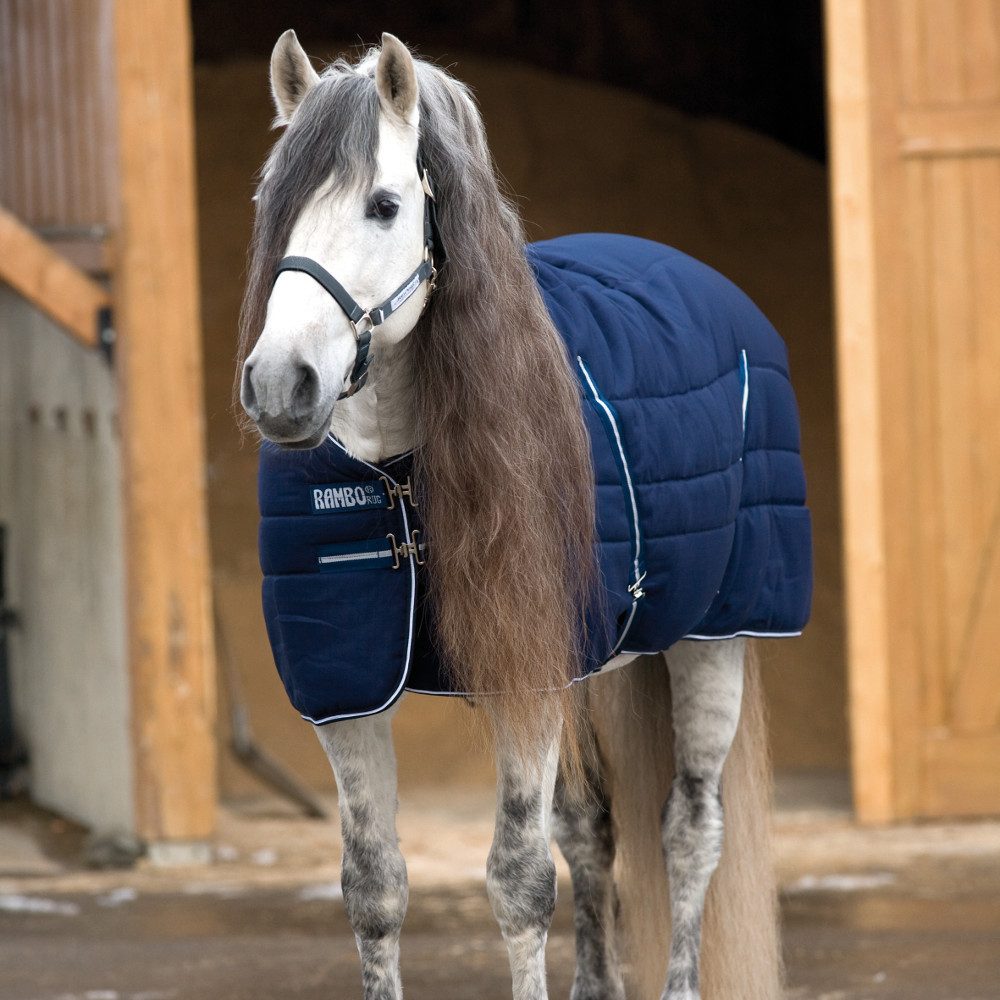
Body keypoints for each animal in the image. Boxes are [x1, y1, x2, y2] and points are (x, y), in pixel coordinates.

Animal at [238, 31, 810, 1000]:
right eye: (270, 203)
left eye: (385, 206)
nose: (282, 385)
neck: (398, 480)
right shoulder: (348, 690)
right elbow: (374, 889)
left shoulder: (528, 678)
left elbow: (518, 882)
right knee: (592, 829)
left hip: (715, 640)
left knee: (690, 833)